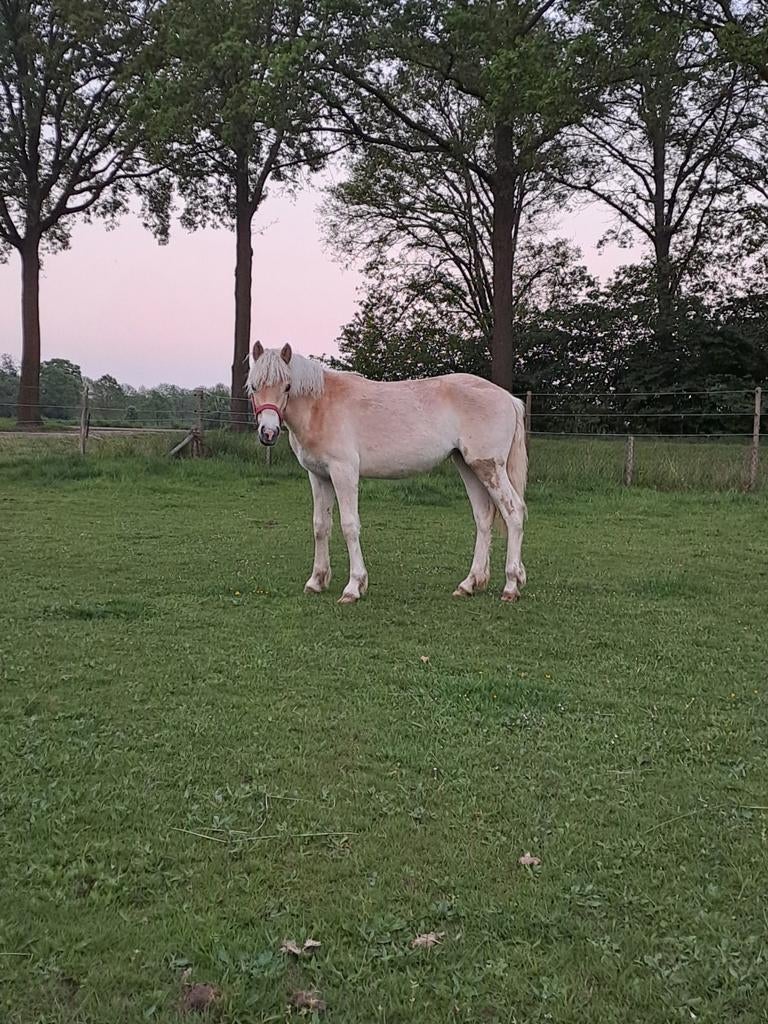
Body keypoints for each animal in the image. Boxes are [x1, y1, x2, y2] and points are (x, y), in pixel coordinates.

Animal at [247, 342, 528, 604]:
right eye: (254, 387)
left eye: (287, 386)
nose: (268, 433)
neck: (321, 406)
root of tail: (508, 398)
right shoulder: (319, 476)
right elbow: (320, 526)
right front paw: (316, 581)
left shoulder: (343, 471)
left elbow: (349, 525)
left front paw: (353, 587)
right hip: (469, 466)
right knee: (483, 518)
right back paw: (468, 584)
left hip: (489, 467)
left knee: (514, 512)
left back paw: (511, 586)